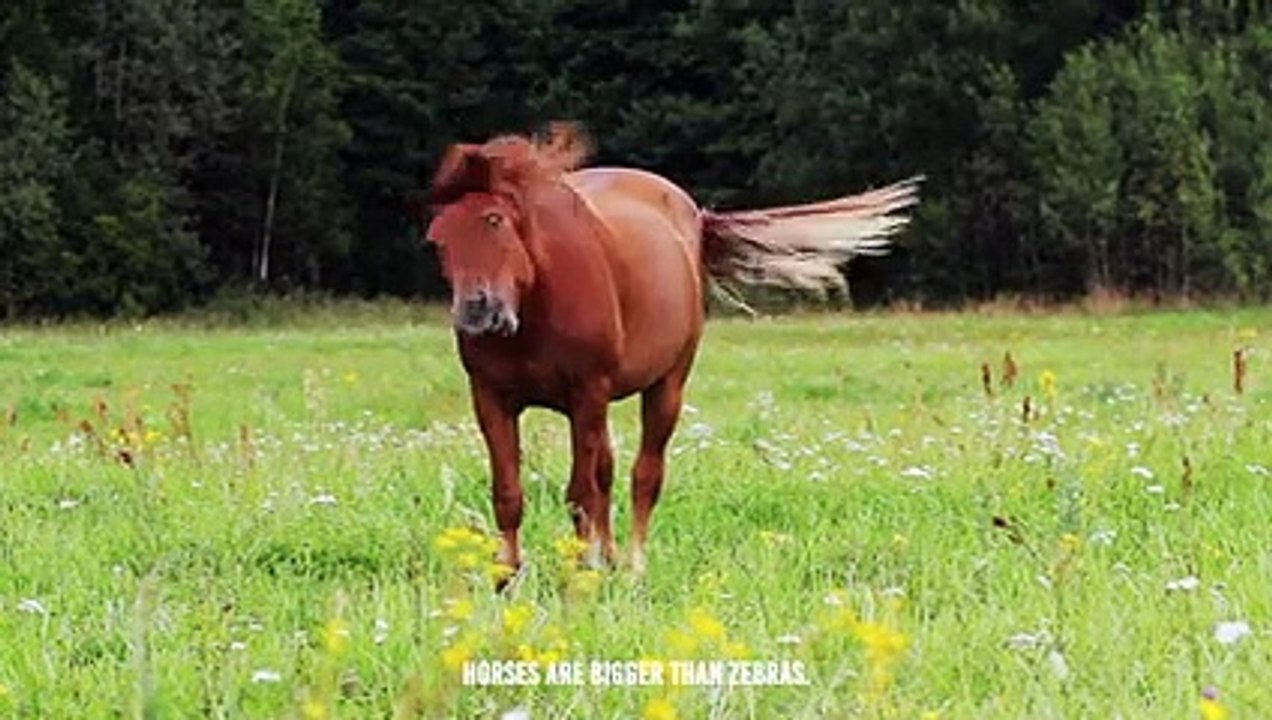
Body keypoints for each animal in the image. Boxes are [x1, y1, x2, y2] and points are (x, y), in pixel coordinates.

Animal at [408, 122, 920, 585]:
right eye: (437, 239)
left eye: (493, 220)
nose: (478, 312)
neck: (537, 306)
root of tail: (694, 214)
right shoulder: (492, 398)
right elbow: (510, 493)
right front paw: (507, 578)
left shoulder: (585, 395)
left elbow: (580, 493)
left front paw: (580, 574)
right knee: (608, 472)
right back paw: (611, 559)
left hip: (666, 385)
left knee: (644, 475)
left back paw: (633, 567)